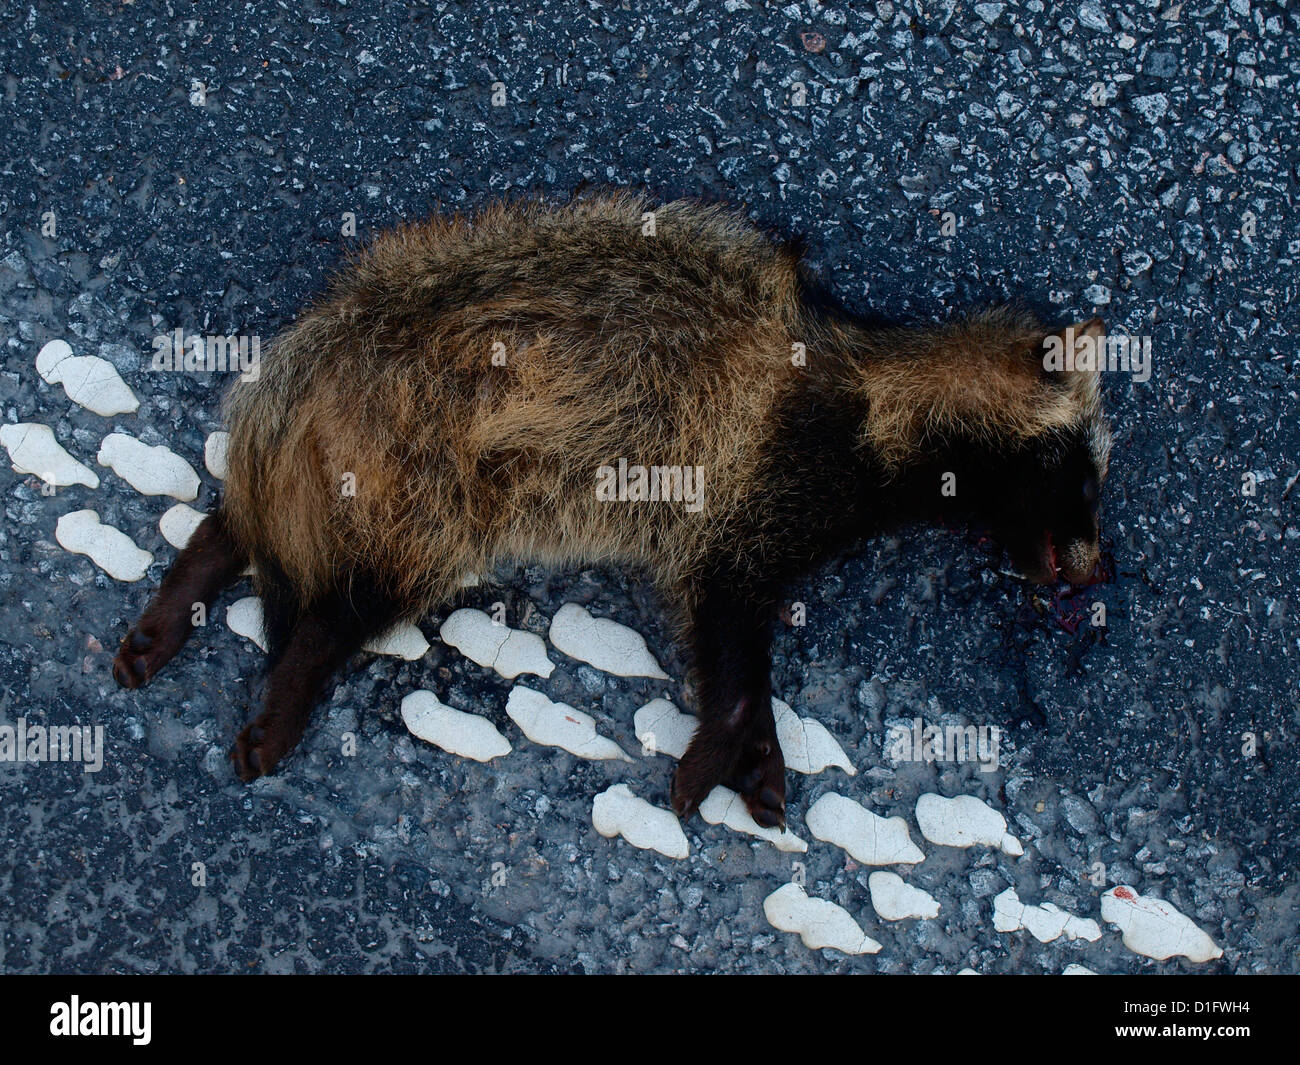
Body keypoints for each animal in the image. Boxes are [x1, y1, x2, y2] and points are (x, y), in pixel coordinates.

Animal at [111, 189, 1112, 827]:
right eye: (1086, 478)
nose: (1103, 569)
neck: (880, 391)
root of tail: (325, 344)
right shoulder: (753, 479)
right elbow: (731, 636)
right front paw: (725, 747)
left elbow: (734, 641)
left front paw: (759, 755)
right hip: (418, 469)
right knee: (351, 597)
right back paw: (289, 682)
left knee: (248, 524)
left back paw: (188, 582)